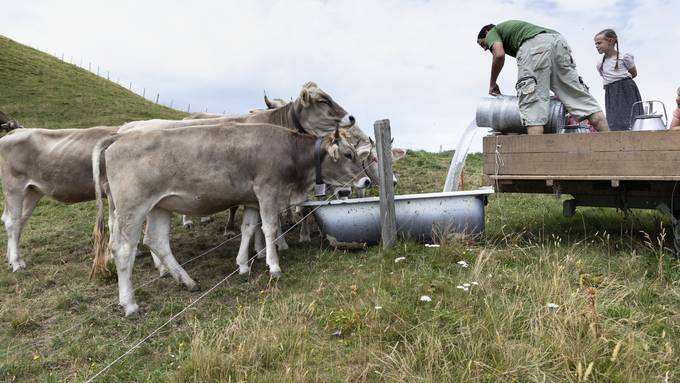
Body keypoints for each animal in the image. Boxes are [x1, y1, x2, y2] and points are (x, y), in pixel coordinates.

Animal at [92, 124, 370, 318]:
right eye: (348, 154)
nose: (366, 180)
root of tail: (118, 138)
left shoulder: (251, 200)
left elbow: (248, 229)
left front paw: (243, 265)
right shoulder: (267, 190)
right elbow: (269, 228)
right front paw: (274, 266)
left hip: (159, 205)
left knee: (156, 240)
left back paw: (187, 281)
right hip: (132, 207)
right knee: (123, 249)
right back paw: (130, 304)